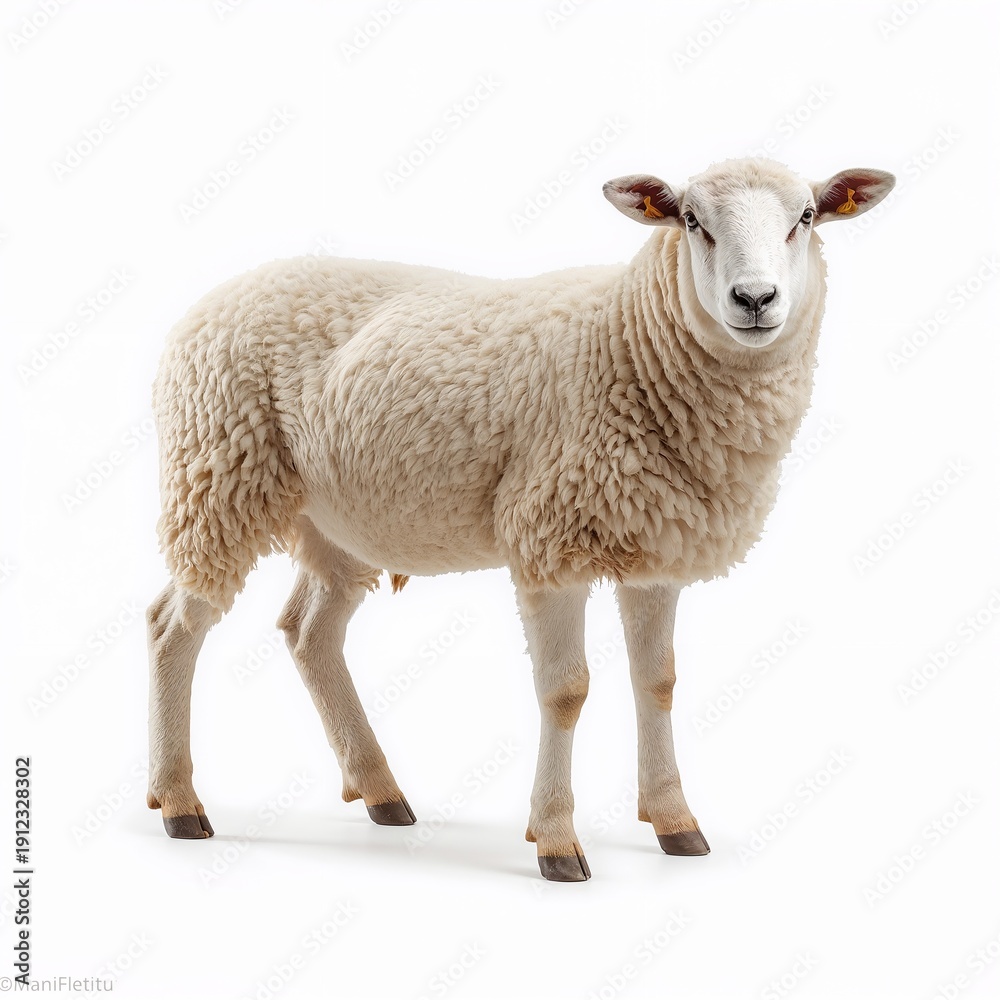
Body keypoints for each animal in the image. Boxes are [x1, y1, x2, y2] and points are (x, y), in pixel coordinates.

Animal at [146, 157, 895, 881]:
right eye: (690, 220)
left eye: (806, 216)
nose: (756, 300)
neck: (629, 342)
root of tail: (207, 301)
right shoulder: (550, 539)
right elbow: (566, 691)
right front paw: (557, 840)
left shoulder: (656, 547)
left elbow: (658, 683)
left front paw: (675, 822)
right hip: (215, 476)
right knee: (173, 628)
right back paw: (179, 802)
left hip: (336, 518)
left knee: (308, 633)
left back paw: (382, 791)